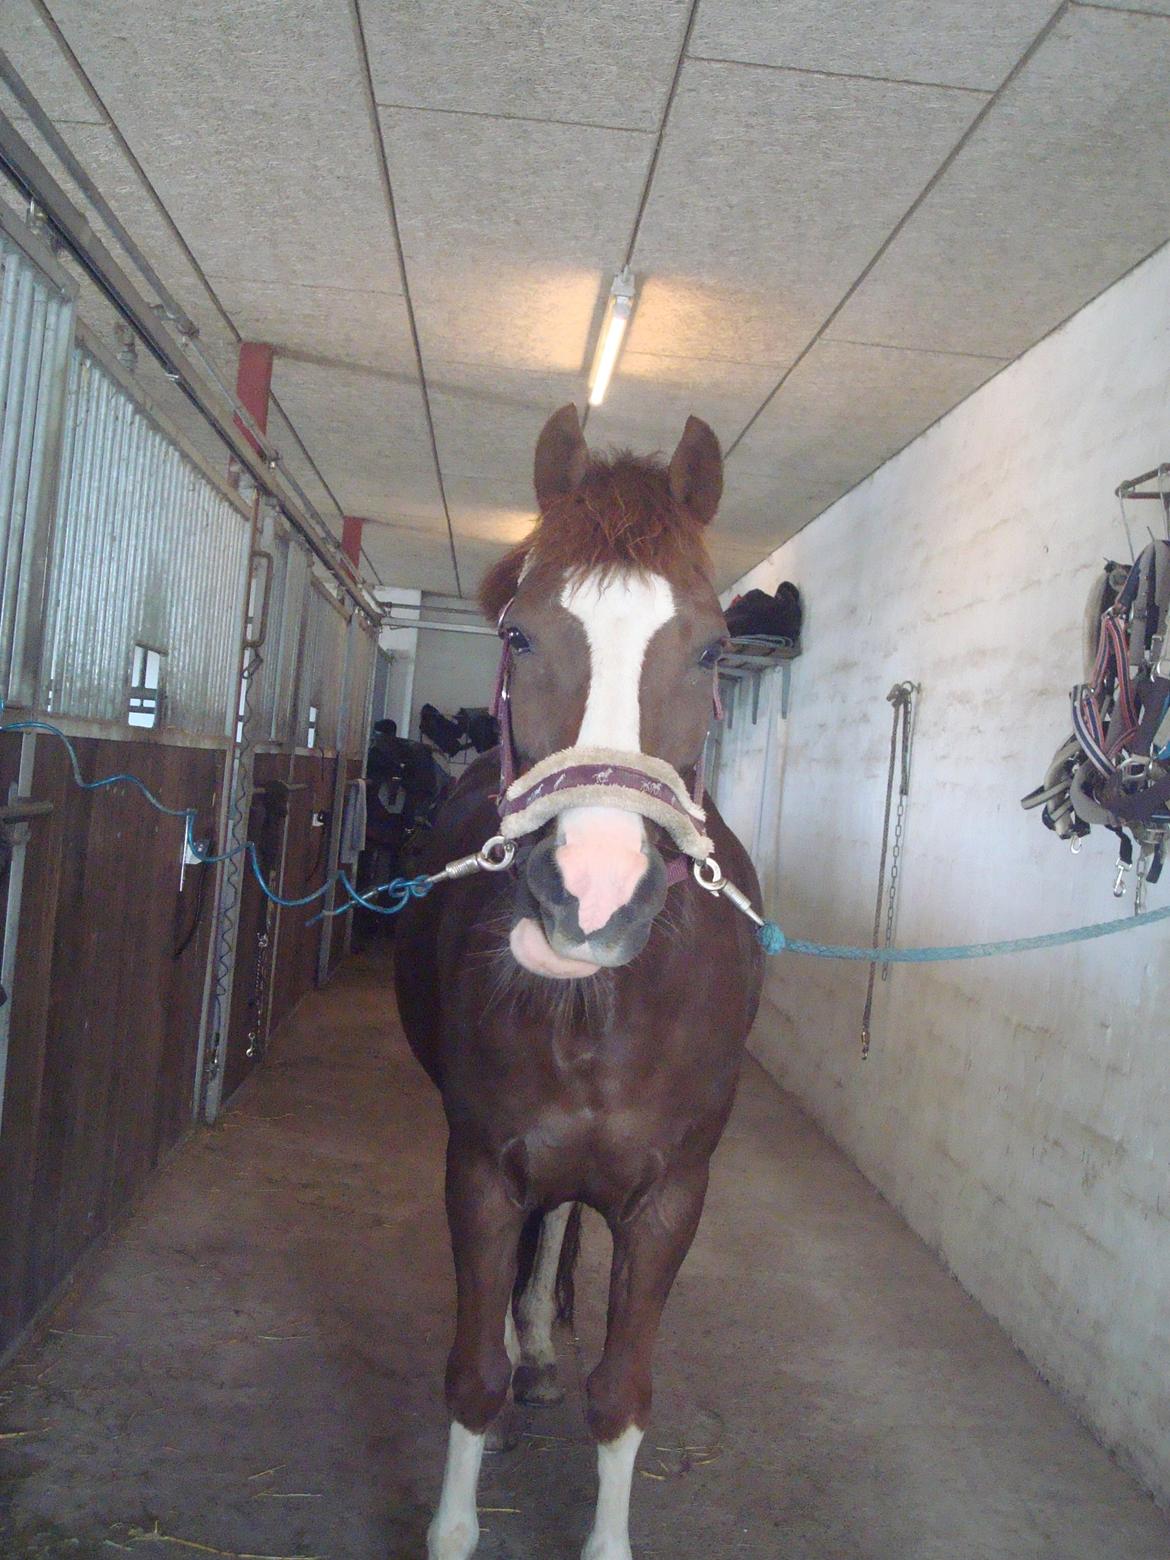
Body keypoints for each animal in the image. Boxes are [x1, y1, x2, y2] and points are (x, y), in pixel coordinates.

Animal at [395, 404, 764, 1560]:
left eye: (713, 646)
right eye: (519, 635)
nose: (592, 899)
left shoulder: (671, 1196)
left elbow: (624, 1394)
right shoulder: (479, 1169)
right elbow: (471, 1380)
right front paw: (458, 1519)